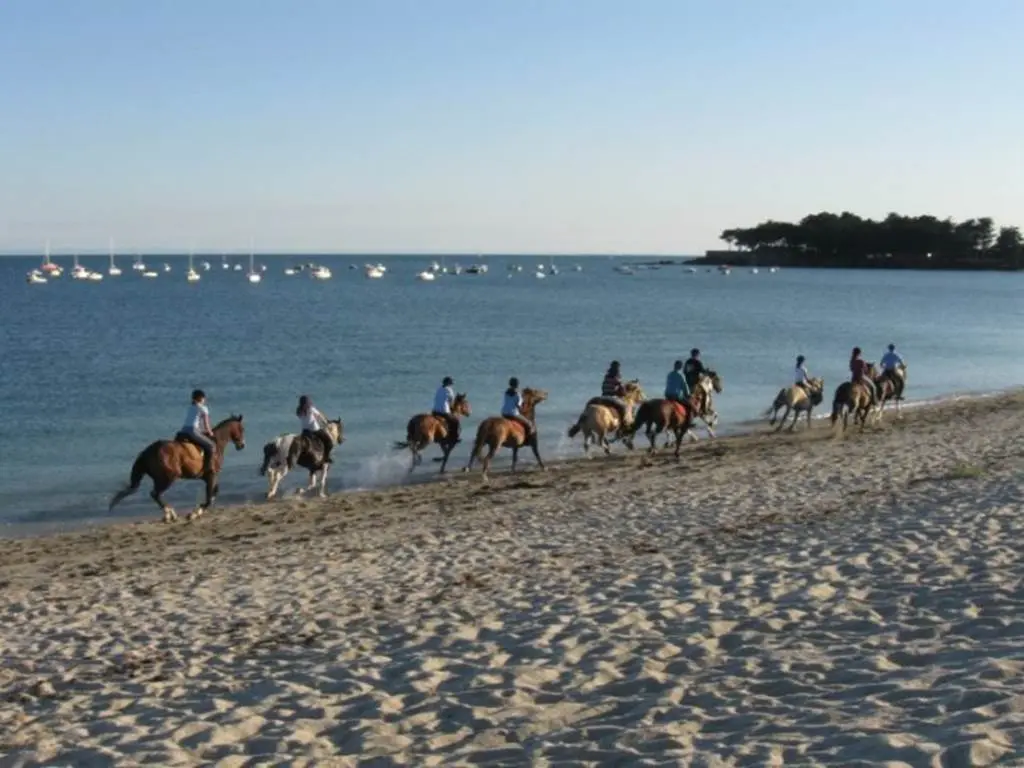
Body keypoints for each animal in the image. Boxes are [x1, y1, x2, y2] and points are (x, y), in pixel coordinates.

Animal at [109, 417, 244, 528]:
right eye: (242, 429)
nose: (242, 445)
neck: (216, 443)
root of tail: (148, 451)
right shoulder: (211, 475)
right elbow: (210, 497)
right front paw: (194, 514)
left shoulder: (208, 477)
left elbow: (214, 493)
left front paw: (196, 512)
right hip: (168, 478)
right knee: (155, 494)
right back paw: (170, 514)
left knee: (156, 494)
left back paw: (170, 514)